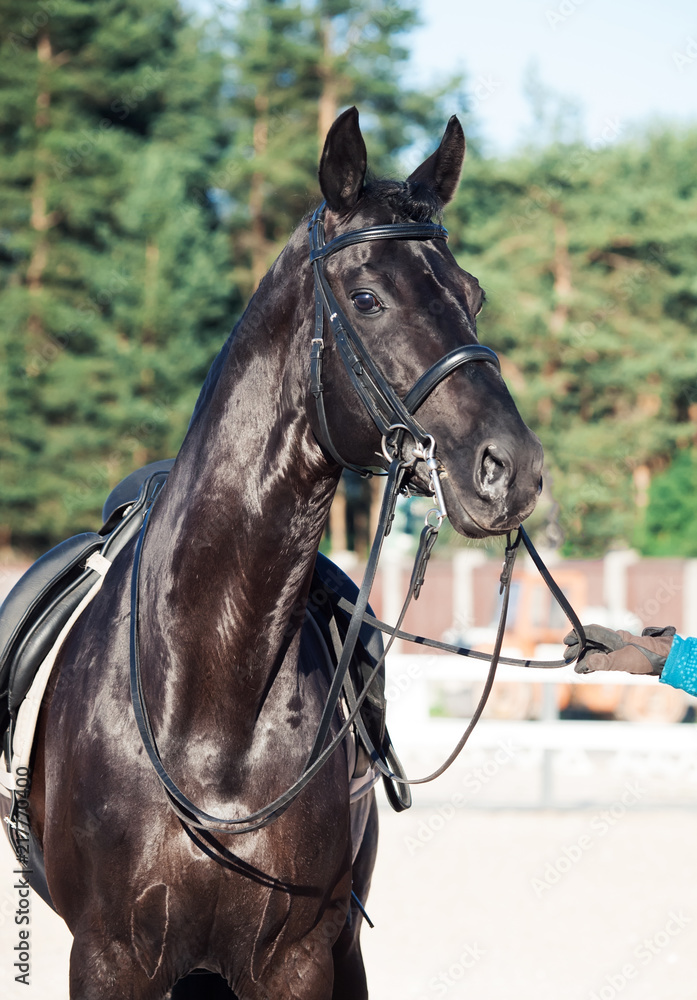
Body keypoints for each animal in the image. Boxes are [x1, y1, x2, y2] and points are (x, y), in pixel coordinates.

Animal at [10, 107, 544, 998]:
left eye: (472, 294)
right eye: (365, 298)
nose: (512, 470)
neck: (208, 697)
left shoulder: (296, 959)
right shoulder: (109, 958)